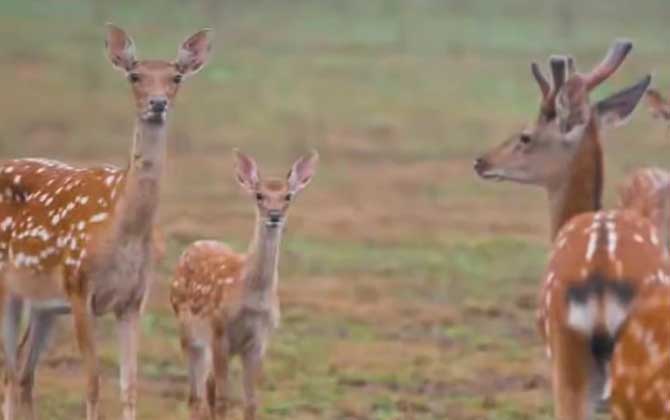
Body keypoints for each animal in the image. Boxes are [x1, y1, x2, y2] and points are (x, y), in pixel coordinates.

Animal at [0, 23, 213, 420]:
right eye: (134, 75)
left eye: (176, 77)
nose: (157, 103)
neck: (121, 227)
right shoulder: (80, 289)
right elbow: (93, 382)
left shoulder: (132, 300)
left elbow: (129, 386)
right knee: (9, 367)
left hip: (41, 301)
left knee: (21, 370)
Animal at [173, 150, 320, 420]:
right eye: (259, 195)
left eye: (288, 196)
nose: (274, 215)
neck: (252, 297)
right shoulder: (219, 331)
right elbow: (224, 400)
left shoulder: (259, 339)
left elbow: (251, 402)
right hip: (189, 332)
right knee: (195, 397)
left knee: (207, 388)